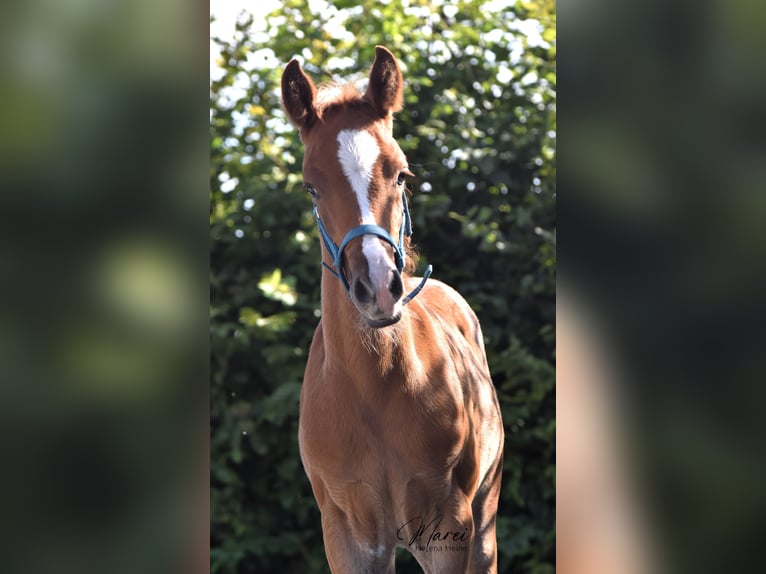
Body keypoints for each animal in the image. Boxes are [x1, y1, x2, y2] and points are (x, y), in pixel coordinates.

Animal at [281, 46, 504, 574]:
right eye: (310, 187)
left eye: (401, 173)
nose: (380, 288)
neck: (373, 390)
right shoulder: (347, 537)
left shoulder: (449, 528)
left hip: (484, 521)